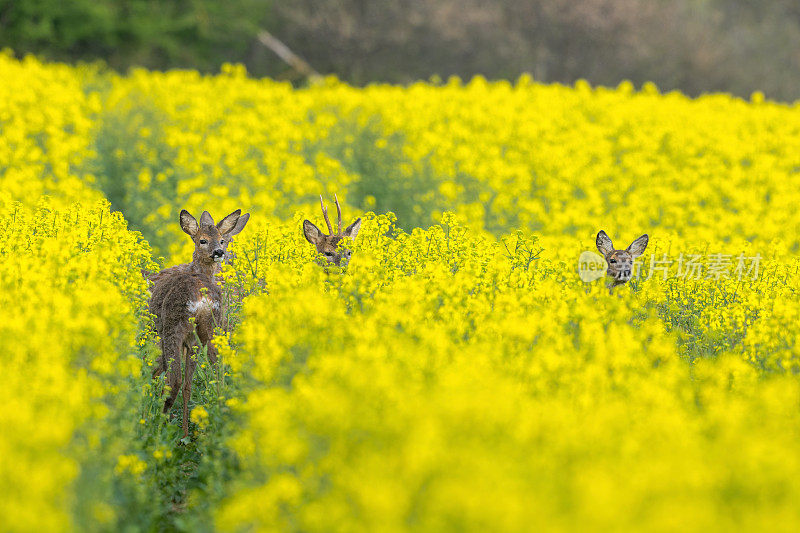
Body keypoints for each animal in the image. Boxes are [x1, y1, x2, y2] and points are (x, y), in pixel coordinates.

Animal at [148, 208, 248, 436]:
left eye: (222, 240)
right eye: (203, 240)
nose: (219, 252)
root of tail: (201, 298)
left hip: (173, 329)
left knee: (172, 379)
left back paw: (158, 426)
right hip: (207, 333)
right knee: (215, 373)